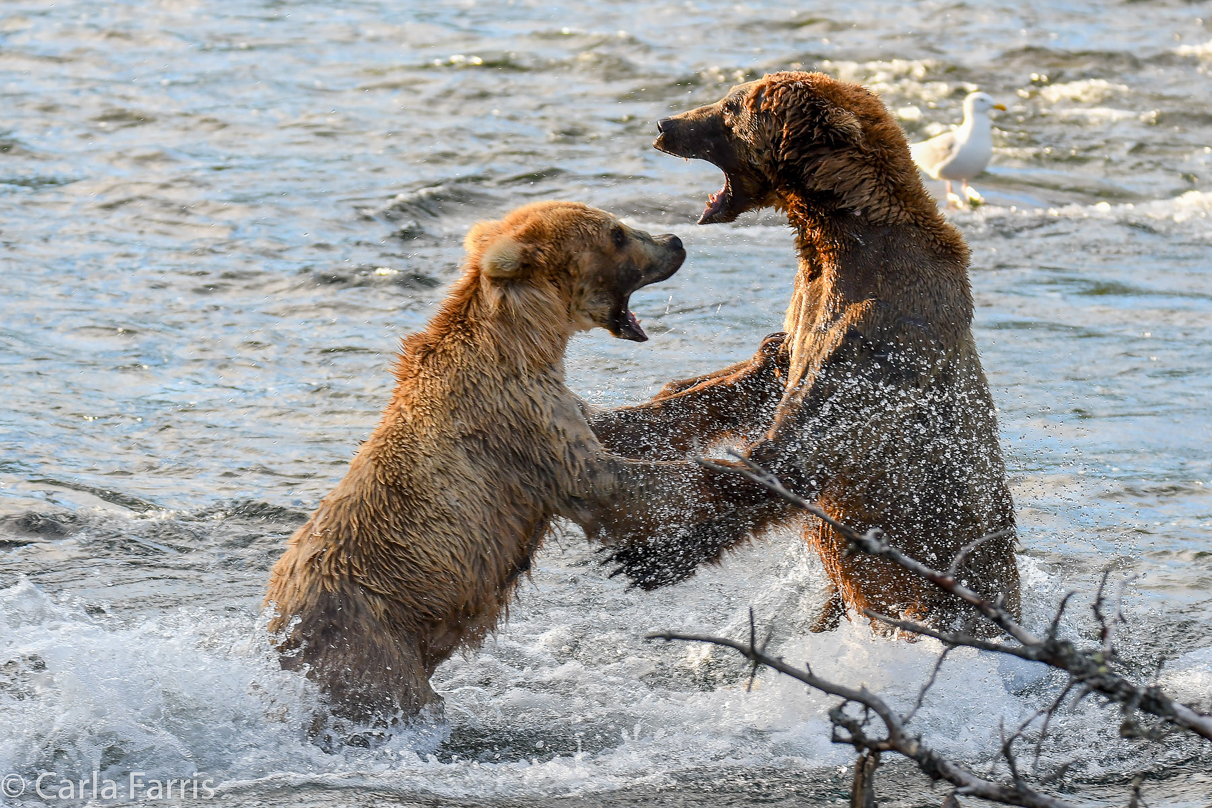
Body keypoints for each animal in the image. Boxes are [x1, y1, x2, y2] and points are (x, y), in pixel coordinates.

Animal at [267, 198, 702, 721]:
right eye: (617, 233)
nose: (675, 242)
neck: (527, 343)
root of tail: (278, 623)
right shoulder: (520, 423)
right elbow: (604, 481)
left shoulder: (555, 403)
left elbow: (626, 427)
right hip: (367, 640)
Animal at [591, 71, 1018, 639]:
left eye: (731, 106)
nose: (665, 124)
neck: (837, 234)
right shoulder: (806, 310)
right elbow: (755, 378)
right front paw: (619, 419)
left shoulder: (877, 335)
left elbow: (797, 449)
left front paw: (655, 552)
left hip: (950, 582)